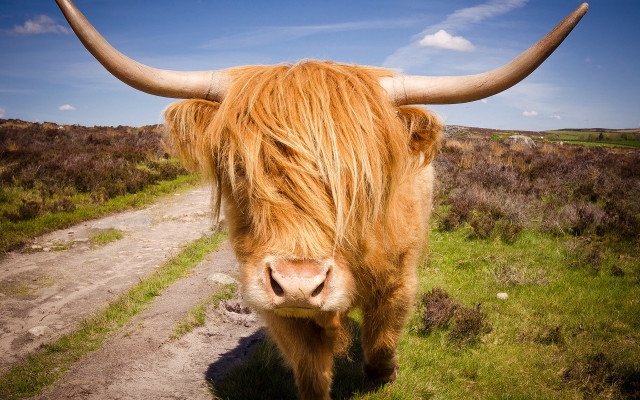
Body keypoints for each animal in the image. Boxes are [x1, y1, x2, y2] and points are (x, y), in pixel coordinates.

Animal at [55, 1, 588, 399]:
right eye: (238, 169)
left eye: (363, 178)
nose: (298, 284)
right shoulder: (268, 293)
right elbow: (310, 369)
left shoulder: (400, 276)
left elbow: (382, 336)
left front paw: (383, 373)